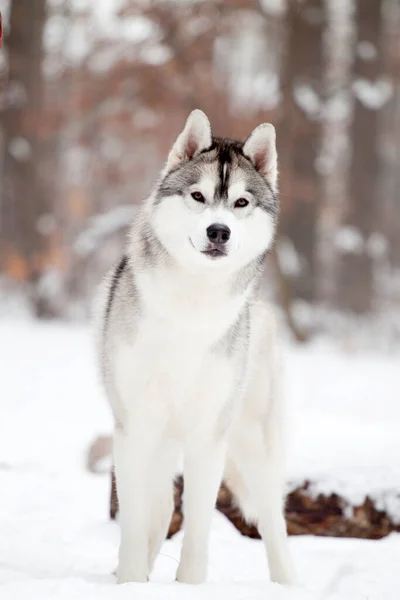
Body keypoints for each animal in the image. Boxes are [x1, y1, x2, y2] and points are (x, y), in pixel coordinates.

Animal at [94, 111, 294, 584]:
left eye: (241, 203)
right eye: (198, 196)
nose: (218, 231)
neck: (191, 308)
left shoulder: (208, 436)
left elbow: (200, 525)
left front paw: (189, 586)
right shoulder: (134, 427)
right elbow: (135, 520)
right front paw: (131, 582)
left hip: (253, 444)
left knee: (273, 519)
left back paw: (289, 584)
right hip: (161, 439)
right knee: (160, 506)